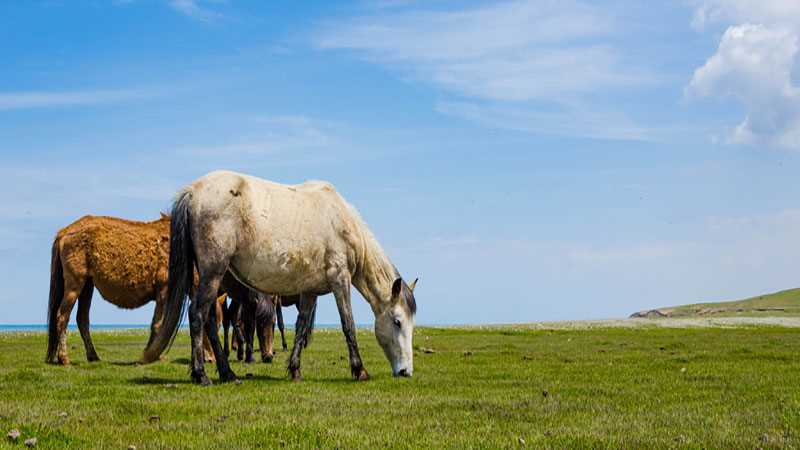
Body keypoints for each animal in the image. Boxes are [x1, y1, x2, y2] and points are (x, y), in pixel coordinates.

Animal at [144, 171, 418, 384]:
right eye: (397, 322)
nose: (406, 371)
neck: (340, 220)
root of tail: (192, 192)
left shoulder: (309, 292)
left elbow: (301, 327)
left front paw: (295, 369)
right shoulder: (340, 280)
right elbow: (347, 324)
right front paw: (359, 370)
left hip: (213, 279)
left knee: (210, 319)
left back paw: (228, 373)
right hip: (213, 273)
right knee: (198, 315)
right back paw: (202, 374)